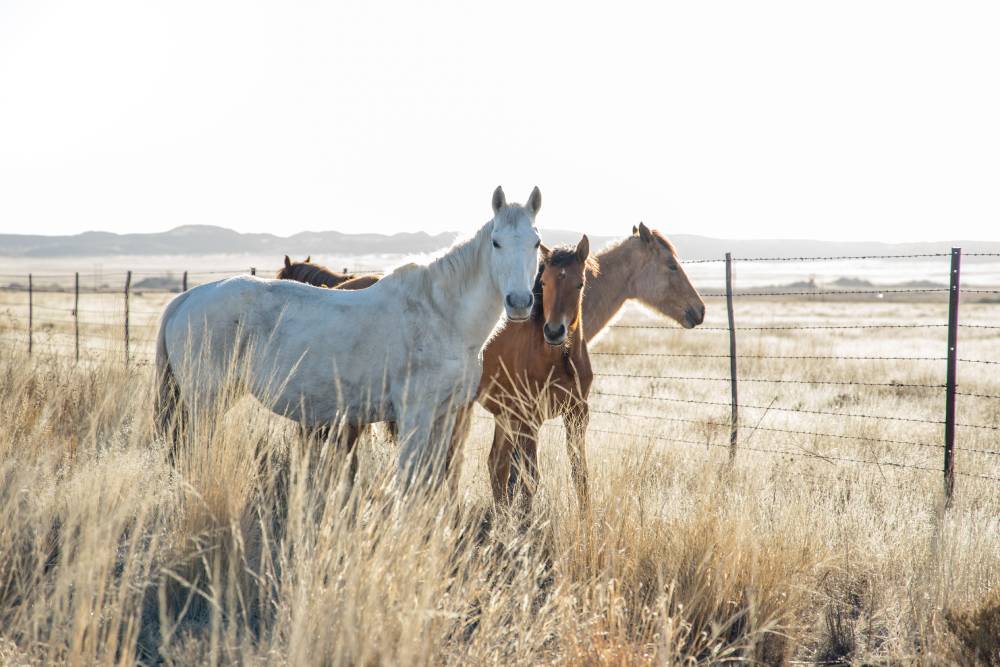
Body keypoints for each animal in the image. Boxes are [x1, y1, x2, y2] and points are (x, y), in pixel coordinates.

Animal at [155, 185, 542, 490]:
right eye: (496, 243)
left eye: (537, 243)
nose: (519, 302)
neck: (441, 313)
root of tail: (189, 297)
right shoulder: (415, 415)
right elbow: (410, 481)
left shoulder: (445, 415)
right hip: (206, 401)